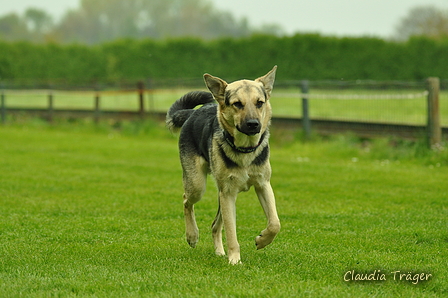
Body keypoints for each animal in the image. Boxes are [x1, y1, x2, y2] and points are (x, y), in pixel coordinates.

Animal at [166, 66, 280, 264]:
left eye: (259, 103)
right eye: (237, 104)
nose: (253, 124)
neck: (245, 149)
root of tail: (192, 113)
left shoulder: (263, 185)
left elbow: (274, 223)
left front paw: (261, 240)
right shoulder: (228, 193)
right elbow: (232, 233)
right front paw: (235, 260)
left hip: (221, 194)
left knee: (214, 225)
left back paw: (219, 251)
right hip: (197, 185)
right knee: (186, 200)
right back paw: (192, 235)